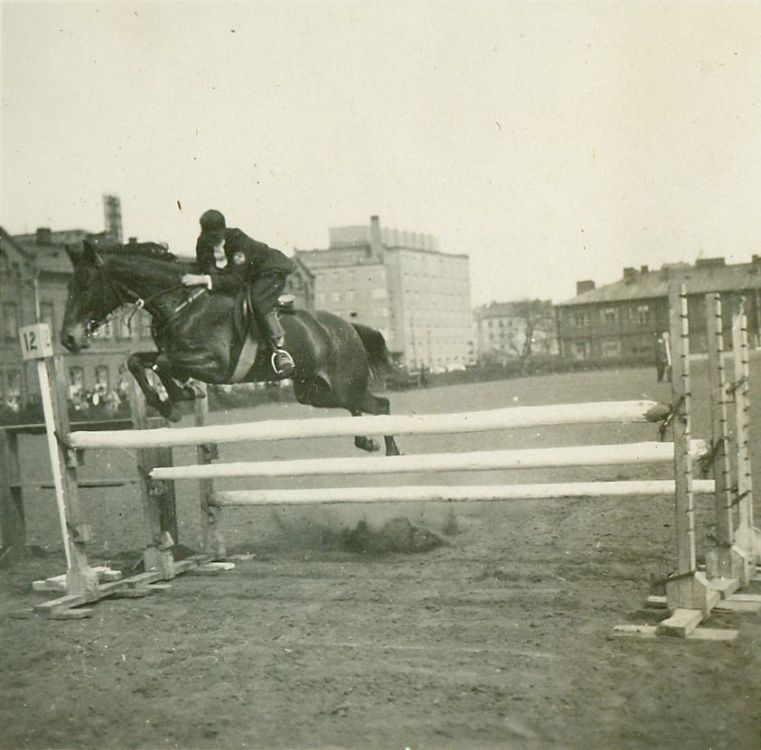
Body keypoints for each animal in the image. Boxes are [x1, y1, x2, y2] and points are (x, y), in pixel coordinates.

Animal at [60, 239, 401, 456]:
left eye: (86, 286)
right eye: (68, 287)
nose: (68, 339)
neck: (182, 303)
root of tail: (349, 328)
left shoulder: (215, 365)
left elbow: (166, 363)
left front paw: (180, 396)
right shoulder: (176, 355)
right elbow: (138, 360)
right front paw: (170, 403)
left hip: (342, 385)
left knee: (381, 405)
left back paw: (392, 452)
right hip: (316, 393)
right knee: (359, 406)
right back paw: (365, 441)